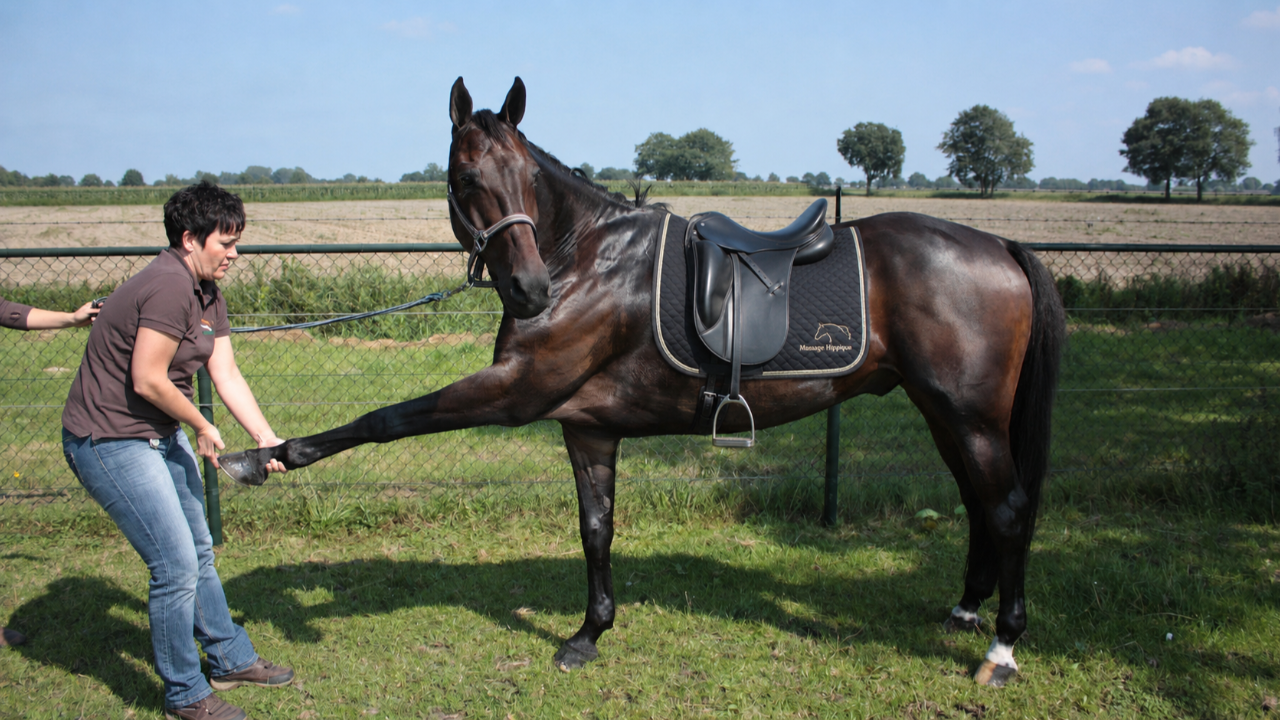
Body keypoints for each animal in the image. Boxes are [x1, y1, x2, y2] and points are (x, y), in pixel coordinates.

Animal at [220, 77, 1065, 687]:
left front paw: (257, 458)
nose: (529, 291)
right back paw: (965, 611)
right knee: (980, 505)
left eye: (522, 175)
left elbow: (384, 419)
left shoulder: (514, 390)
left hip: (970, 416)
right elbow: (597, 527)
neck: (586, 259)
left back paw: (1002, 648)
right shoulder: (587, 426)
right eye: (464, 176)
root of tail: (997, 243)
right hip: (943, 413)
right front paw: (589, 633)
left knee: (1008, 507)